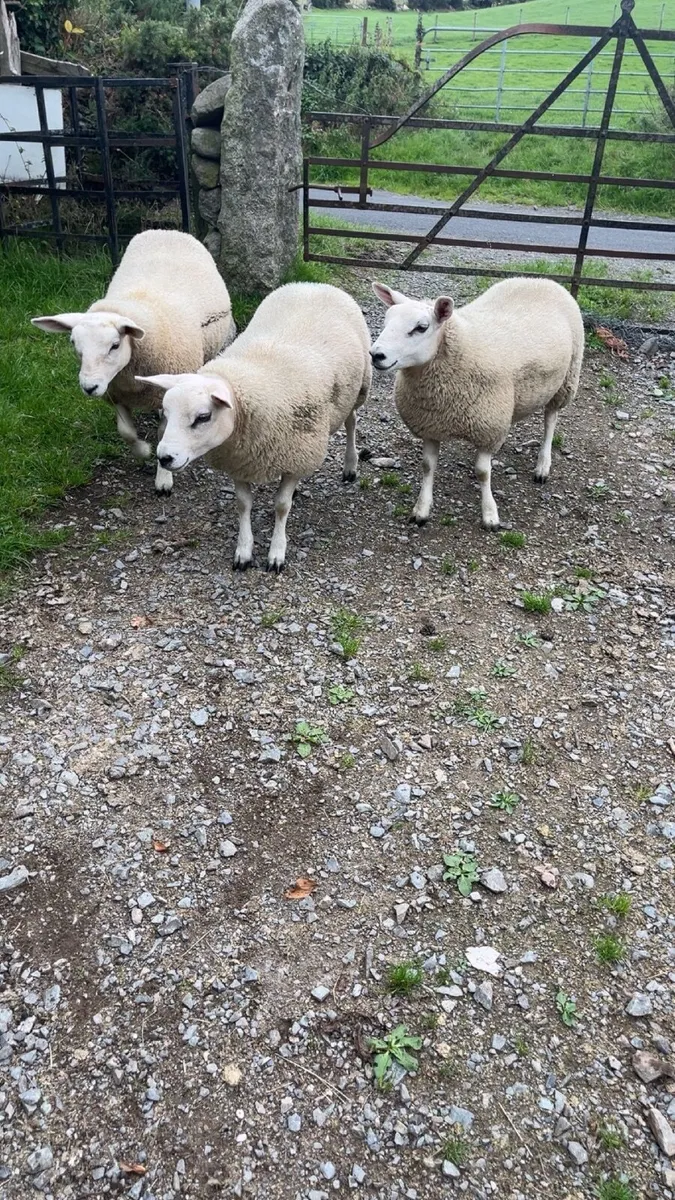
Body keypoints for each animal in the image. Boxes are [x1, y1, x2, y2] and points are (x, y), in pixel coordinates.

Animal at [31, 230, 235, 495]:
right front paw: (142, 451)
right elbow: (126, 432)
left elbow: (163, 434)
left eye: (115, 345)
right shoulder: (116, 395)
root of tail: (166, 231)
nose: (89, 387)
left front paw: (163, 479)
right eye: (74, 344)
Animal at [136, 281, 372, 572]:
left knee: (351, 423)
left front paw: (277, 552)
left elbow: (281, 506)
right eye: (166, 413)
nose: (164, 457)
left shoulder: (296, 452)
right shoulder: (240, 460)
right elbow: (243, 504)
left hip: (358, 389)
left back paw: (350, 465)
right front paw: (244, 551)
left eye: (203, 417)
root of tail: (313, 284)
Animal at [369, 277, 584, 531]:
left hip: (565, 380)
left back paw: (543, 464)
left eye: (421, 327)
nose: (375, 354)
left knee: (550, 420)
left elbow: (483, 472)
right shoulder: (430, 425)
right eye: (386, 321)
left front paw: (490, 514)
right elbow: (428, 466)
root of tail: (540, 279)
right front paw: (421, 509)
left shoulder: (488, 429)